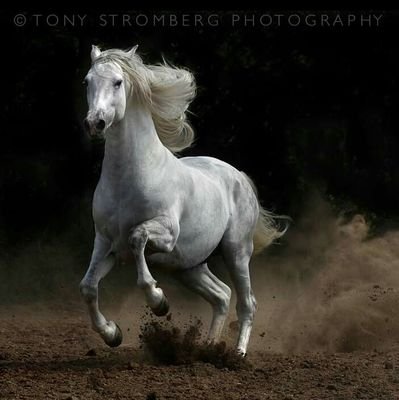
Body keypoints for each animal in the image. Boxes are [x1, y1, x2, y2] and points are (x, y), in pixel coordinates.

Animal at [79, 45, 290, 354]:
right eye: (87, 81)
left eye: (117, 82)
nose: (95, 122)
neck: (127, 179)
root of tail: (239, 176)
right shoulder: (106, 244)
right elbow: (88, 287)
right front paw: (112, 334)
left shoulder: (166, 234)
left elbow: (138, 238)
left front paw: (159, 302)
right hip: (189, 266)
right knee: (221, 295)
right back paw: (208, 348)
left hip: (236, 252)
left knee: (247, 302)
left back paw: (237, 353)